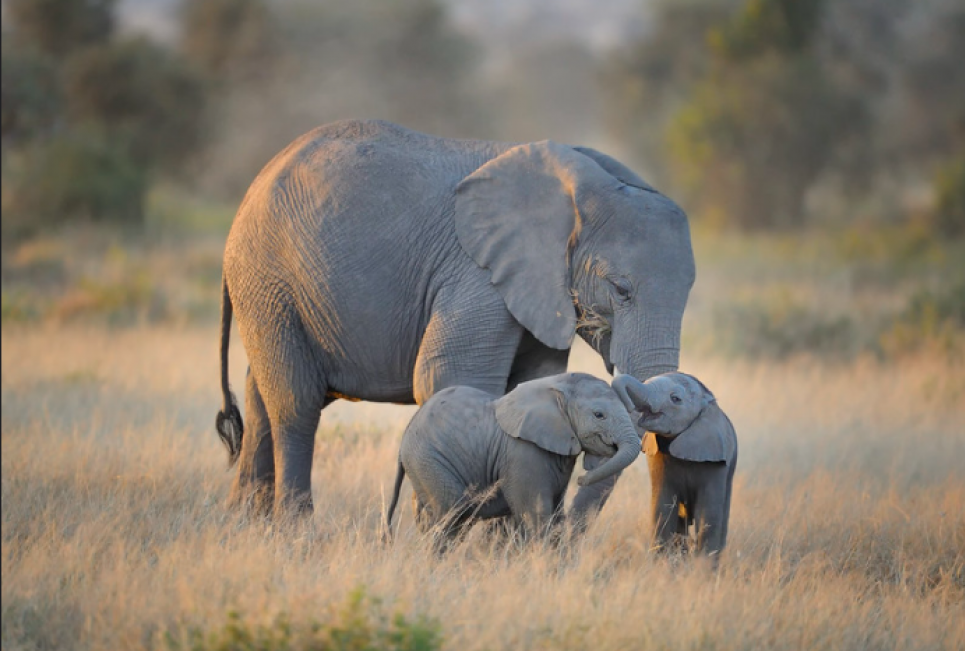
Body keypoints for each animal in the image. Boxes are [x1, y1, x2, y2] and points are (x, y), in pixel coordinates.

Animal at [217, 119, 692, 516]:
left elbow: (530, 384)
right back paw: (296, 533)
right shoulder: (476, 274)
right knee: (295, 404)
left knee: (261, 397)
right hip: (269, 279)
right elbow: (449, 377)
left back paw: (246, 528)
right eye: (621, 289)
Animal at [382, 372, 640, 544]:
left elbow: (556, 514)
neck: (556, 386)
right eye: (599, 415)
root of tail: (405, 436)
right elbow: (536, 515)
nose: (581, 479)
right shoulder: (523, 453)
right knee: (451, 514)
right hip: (429, 459)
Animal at [612, 372, 740, 560]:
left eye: (675, 399)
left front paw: (702, 566)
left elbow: (708, 514)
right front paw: (662, 563)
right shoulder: (657, 457)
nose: (628, 407)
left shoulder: (716, 460)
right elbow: (662, 507)